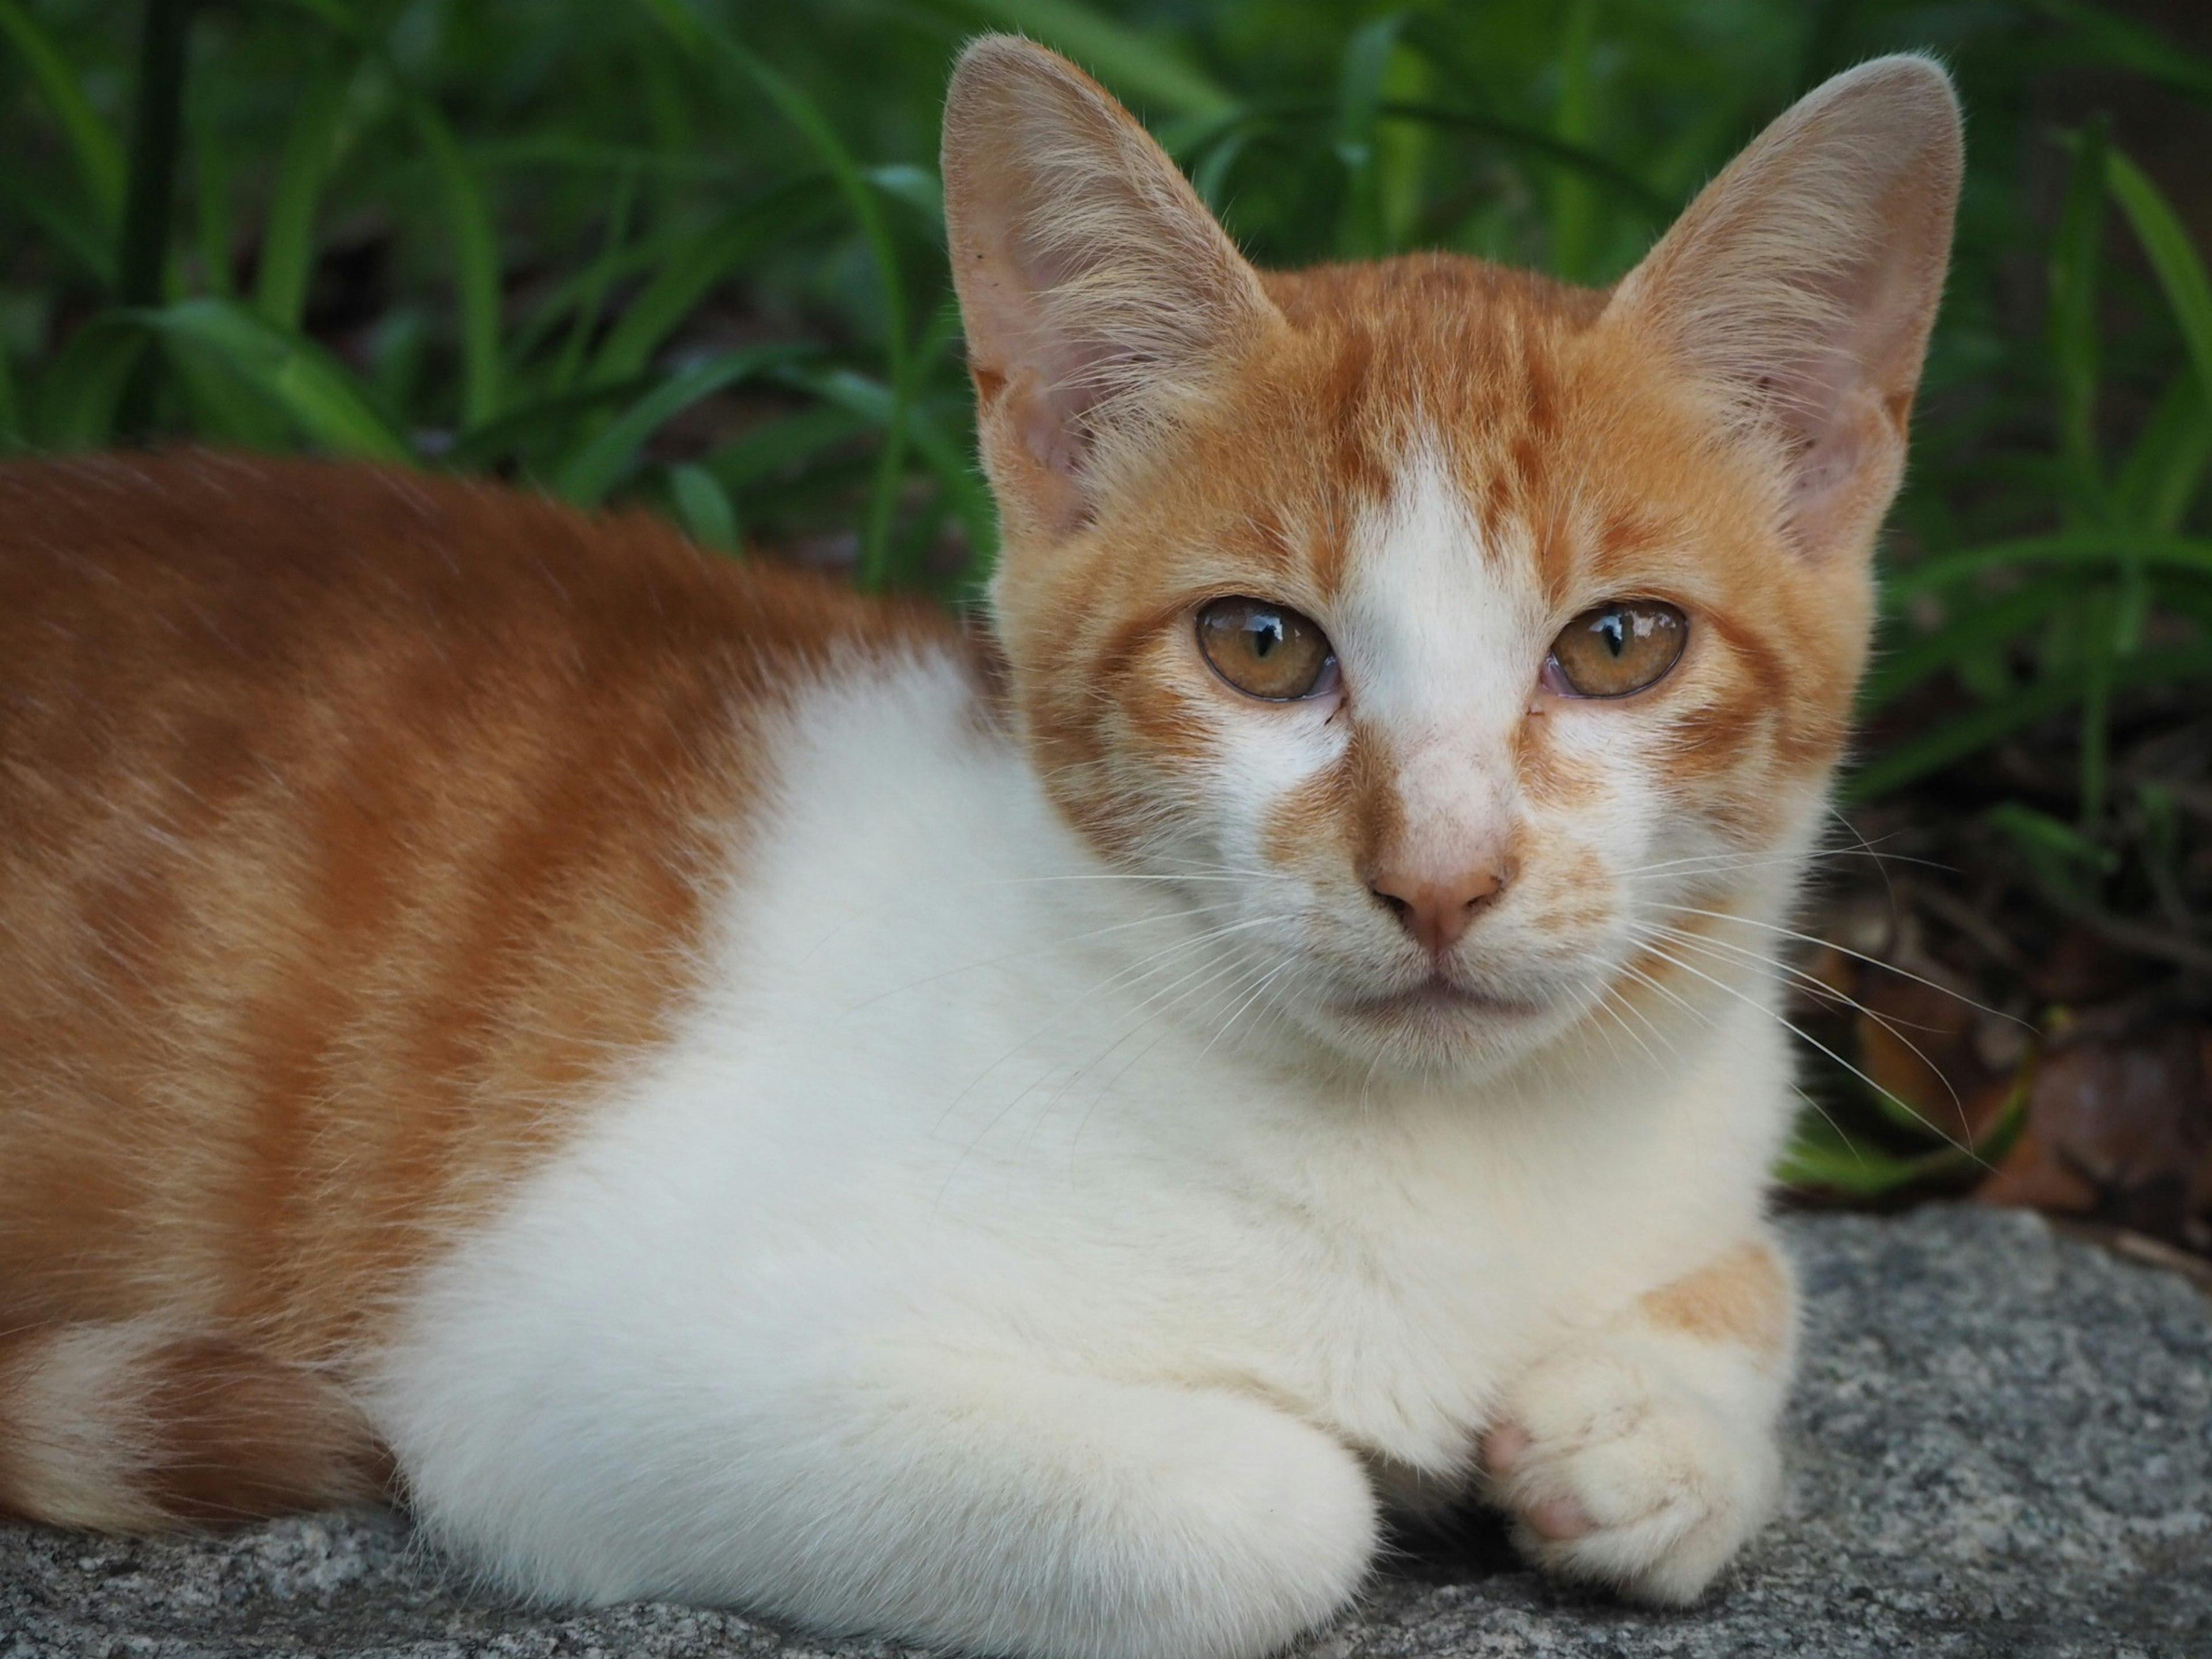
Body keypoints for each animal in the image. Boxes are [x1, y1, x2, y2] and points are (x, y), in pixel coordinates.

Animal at [4, 35, 1973, 1659]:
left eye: (1620, 645)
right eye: (1259, 647)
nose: (1440, 875)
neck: (1447, 1169)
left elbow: (1763, 1272)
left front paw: (1658, 1425)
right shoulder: (560, 1371)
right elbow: (1274, 1507)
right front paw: (1379, 1454)